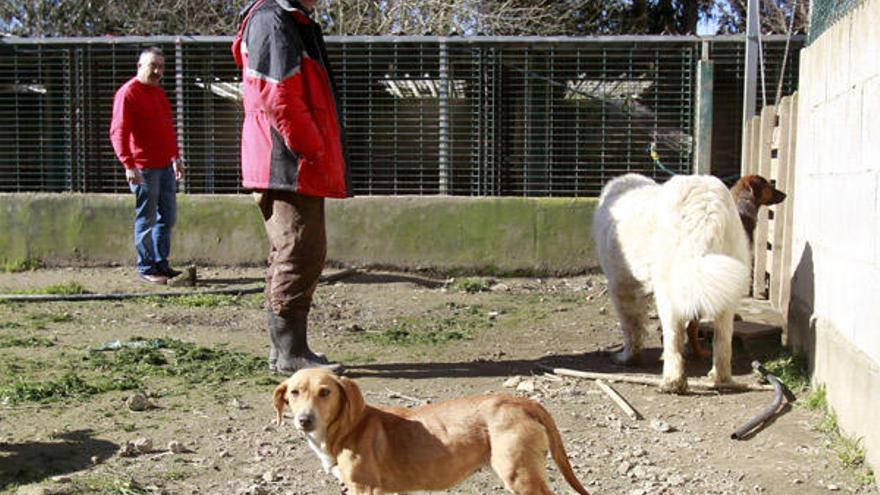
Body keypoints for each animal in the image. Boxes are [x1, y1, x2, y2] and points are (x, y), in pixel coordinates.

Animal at [276, 368, 592, 495]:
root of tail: (521, 400)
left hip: (519, 474)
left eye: (325, 392)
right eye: (294, 392)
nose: (304, 420)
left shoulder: (365, 488)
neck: (349, 426)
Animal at [592, 174, 748, 396]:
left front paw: (628, 358)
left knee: (673, 339)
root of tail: (707, 205)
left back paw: (672, 382)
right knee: (723, 342)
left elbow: (631, 327)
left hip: (669, 291)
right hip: (725, 284)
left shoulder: (621, 287)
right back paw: (720, 378)